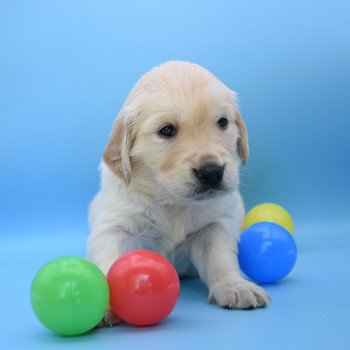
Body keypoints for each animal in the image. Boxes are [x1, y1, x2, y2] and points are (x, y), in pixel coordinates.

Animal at [87, 60, 268, 326]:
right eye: (166, 130)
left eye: (222, 122)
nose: (212, 172)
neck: (171, 201)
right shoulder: (114, 225)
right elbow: (109, 257)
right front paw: (104, 303)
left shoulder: (215, 225)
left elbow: (221, 258)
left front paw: (235, 287)